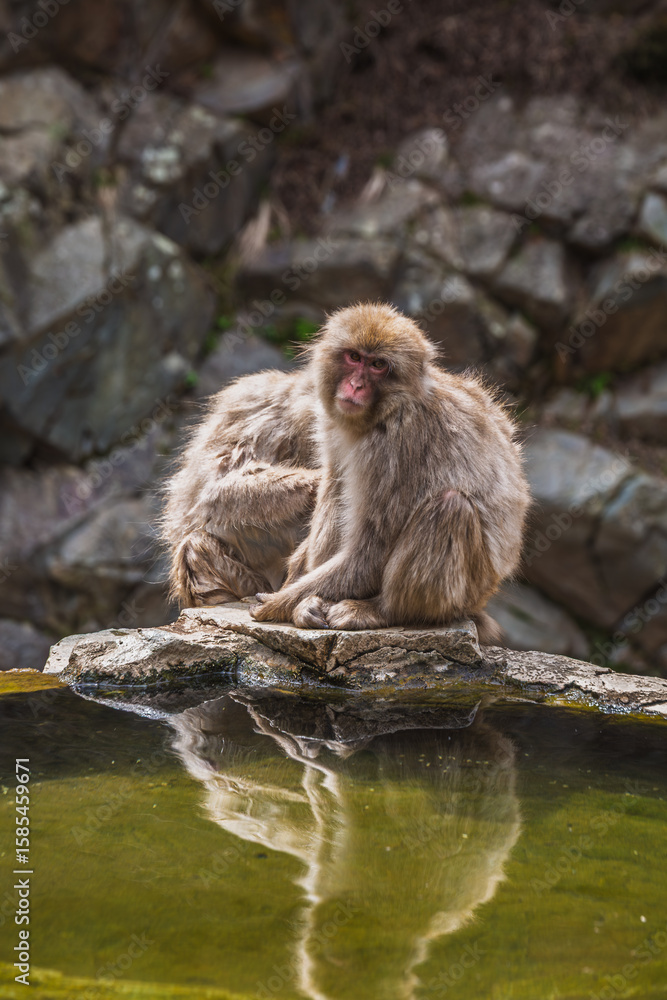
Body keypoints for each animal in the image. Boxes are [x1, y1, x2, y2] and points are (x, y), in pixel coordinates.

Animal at [249, 302, 530, 640]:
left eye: (378, 365)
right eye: (354, 357)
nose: (355, 386)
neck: (387, 410)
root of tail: (482, 599)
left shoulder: (396, 446)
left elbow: (369, 553)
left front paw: (276, 604)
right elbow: (336, 482)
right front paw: (297, 580)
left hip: (467, 591)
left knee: (451, 508)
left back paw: (383, 611)